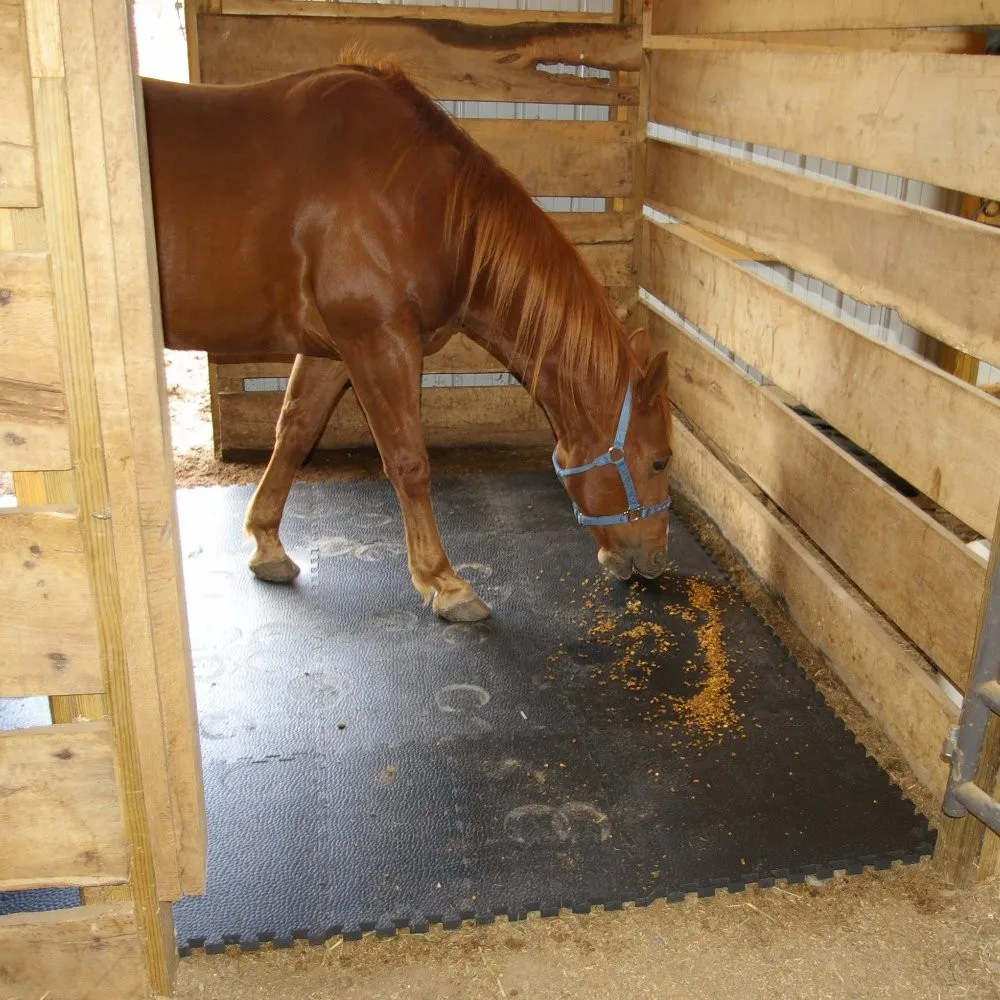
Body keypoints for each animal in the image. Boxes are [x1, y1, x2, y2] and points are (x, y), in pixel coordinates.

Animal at [142, 59, 673, 623]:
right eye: (660, 460)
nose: (657, 561)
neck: (423, 202)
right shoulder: (379, 340)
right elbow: (409, 462)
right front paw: (446, 583)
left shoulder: (334, 349)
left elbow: (295, 431)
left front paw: (267, 545)